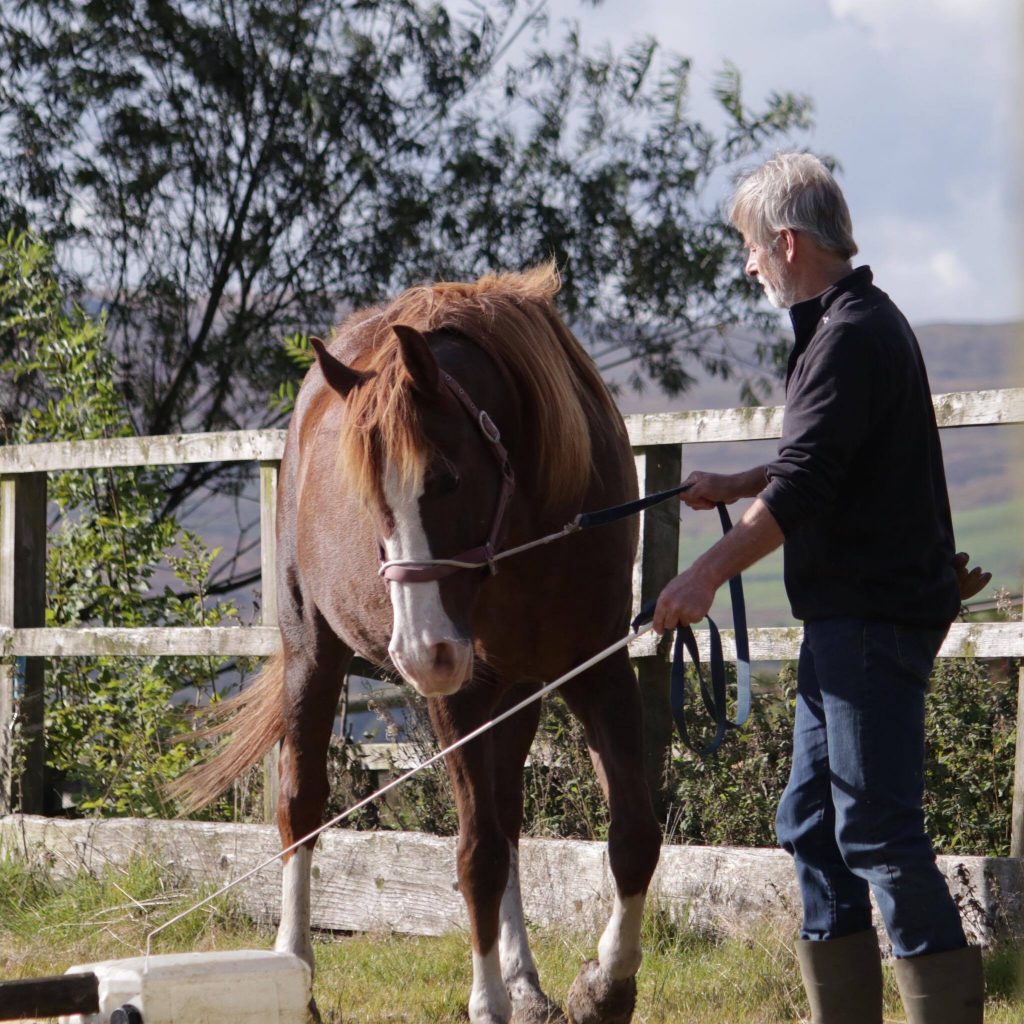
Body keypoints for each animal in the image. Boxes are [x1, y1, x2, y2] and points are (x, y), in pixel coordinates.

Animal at [173, 266, 659, 1024]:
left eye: (445, 480)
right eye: (370, 497)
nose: (421, 652)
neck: (528, 526)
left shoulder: (596, 667)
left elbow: (632, 833)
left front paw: (604, 987)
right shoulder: (462, 693)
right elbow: (476, 856)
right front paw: (488, 1002)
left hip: (516, 692)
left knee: (509, 818)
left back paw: (526, 982)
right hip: (314, 653)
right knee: (301, 808)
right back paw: (297, 970)